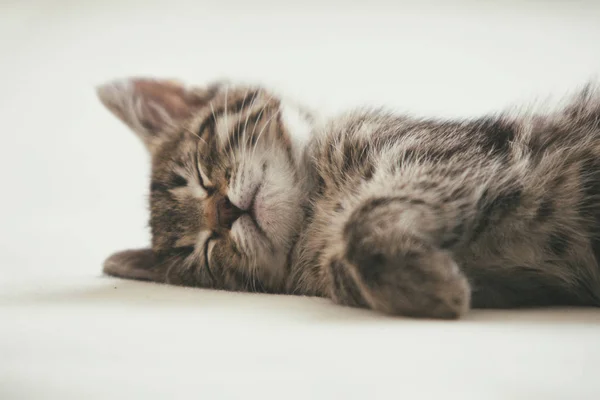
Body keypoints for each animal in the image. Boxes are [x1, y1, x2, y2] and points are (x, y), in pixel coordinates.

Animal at [98, 77, 600, 318]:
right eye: (201, 249)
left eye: (200, 173)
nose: (223, 211)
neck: (318, 205)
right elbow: (345, 259)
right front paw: (429, 284)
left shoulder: (450, 154)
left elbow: (366, 217)